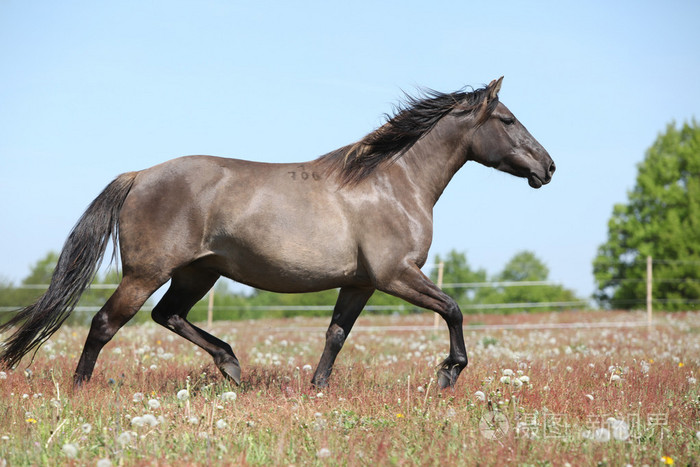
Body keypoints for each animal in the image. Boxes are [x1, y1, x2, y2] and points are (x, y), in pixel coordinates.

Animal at [0, 77, 555, 390]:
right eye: (508, 120)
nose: (548, 168)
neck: (391, 182)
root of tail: (139, 175)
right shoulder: (397, 275)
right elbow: (454, 309)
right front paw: (448, 373)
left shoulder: (361, 282)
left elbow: (336, 334)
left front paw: (317, 388)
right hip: (147, 273)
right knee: (104, 323)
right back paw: (81, 389)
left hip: (198, 273)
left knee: (168, 315)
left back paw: (231, 367)